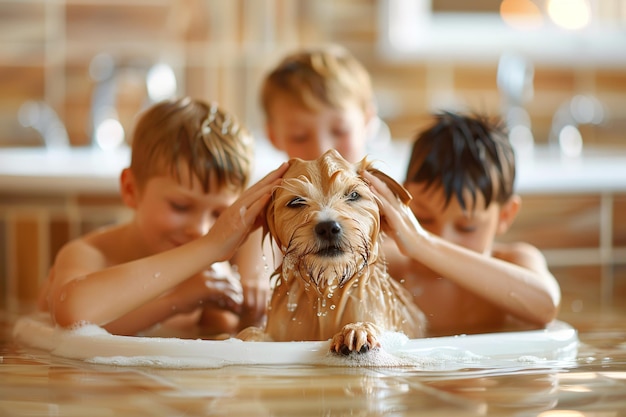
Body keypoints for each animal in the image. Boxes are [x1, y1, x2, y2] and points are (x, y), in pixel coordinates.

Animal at [238, 150, 424, 354]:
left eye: (353, 195)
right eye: (296, 201)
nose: (328, 227)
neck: (327, 289)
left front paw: (357, 329)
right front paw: (249, 337)